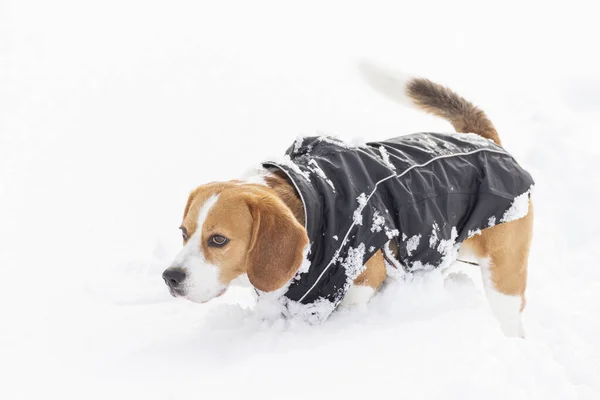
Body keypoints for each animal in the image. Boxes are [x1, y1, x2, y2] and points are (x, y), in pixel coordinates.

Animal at [163, 63, 536, 338]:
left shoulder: (360, 285)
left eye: (219, 240)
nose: (170, 277)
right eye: (183, 233)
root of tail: (481, 138)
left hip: (503, 274)